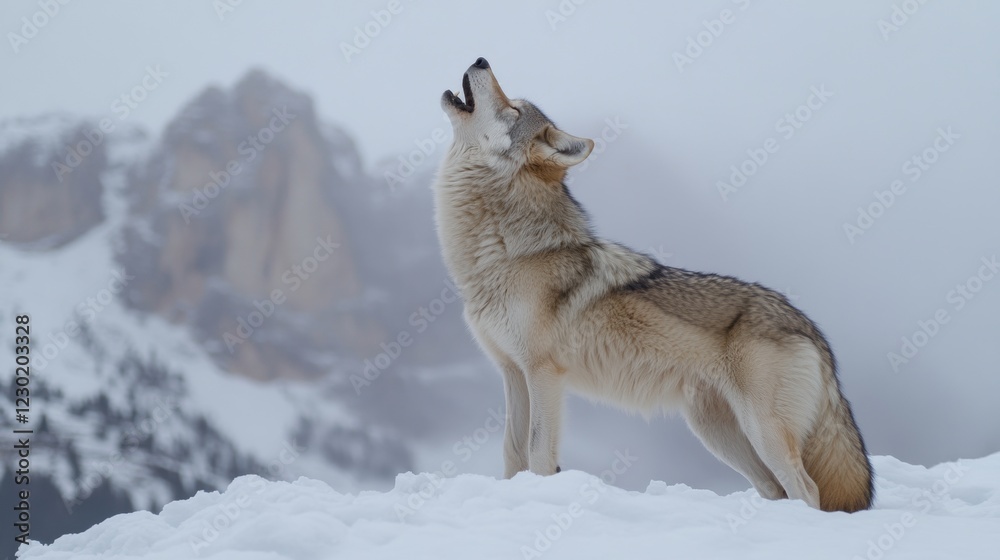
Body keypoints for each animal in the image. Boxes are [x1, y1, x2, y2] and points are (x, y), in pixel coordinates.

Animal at [432, 57, 874, 512]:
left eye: (515, 109)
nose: (481, 59)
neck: (506, 252)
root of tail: (808, 326)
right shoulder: (512, 373)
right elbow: (511, 453)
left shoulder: (543, 374)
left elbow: (538, 455)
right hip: (718, 432)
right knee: (774, 488)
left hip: (762, 431)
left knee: (807, 489)